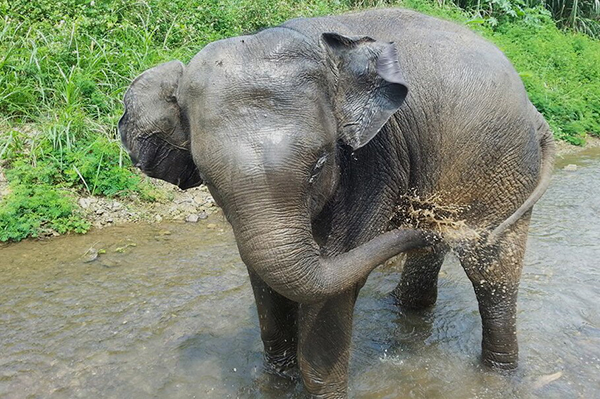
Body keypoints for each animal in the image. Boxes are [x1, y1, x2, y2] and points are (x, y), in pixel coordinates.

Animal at [118, 7, 552, 399]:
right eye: (207, 178)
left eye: (320, 164)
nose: (424, 224)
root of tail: (535, 112)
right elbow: (263, 278)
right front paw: (278, 381)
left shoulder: (373, 158)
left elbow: (334, 276)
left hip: (504, 165)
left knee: (492, 269)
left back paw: (498, 374)